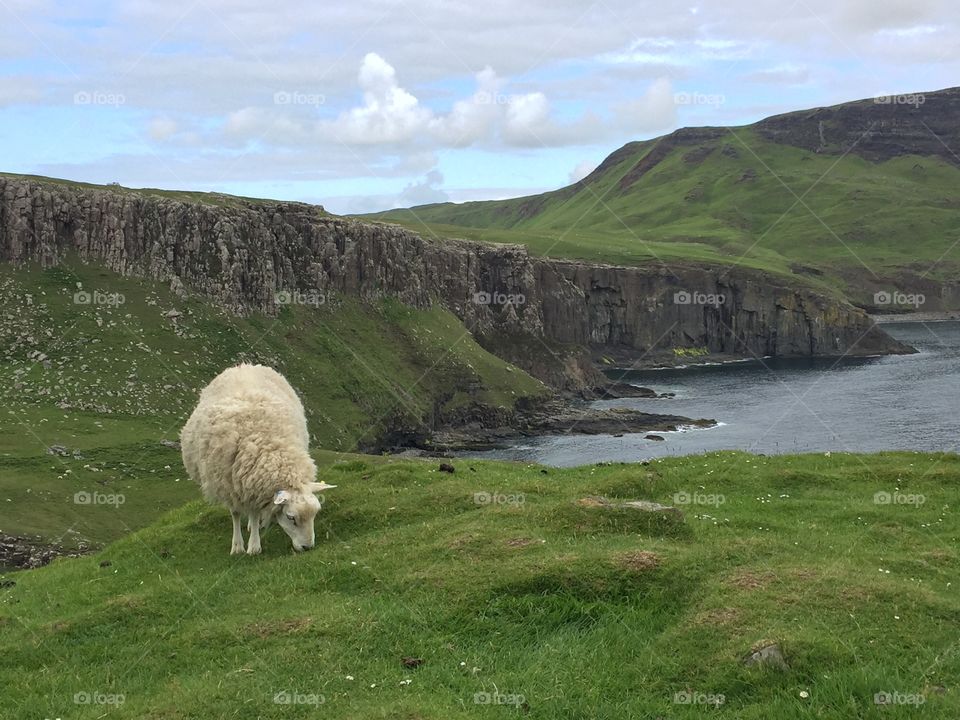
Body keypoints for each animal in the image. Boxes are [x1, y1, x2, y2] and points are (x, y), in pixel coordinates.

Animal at [182, 362, 336, 556]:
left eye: (315, 514)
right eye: (291, 517)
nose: (307, 547)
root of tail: (243, 365)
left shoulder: (253, 487)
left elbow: (255, 513)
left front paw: (254, 544)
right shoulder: (229, 485)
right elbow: (235, 514)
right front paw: (238, 546)